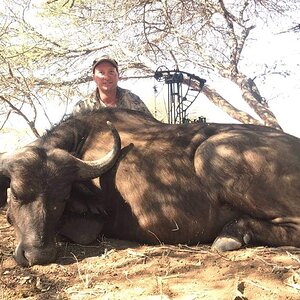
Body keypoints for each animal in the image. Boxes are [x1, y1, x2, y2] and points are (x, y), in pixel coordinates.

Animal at [0, 108, 300, 264]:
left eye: (61, 199)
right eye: (16, 195)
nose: (38, 254)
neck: (82, 141)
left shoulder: (89, 227)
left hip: (210, 152)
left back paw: (233, 233)